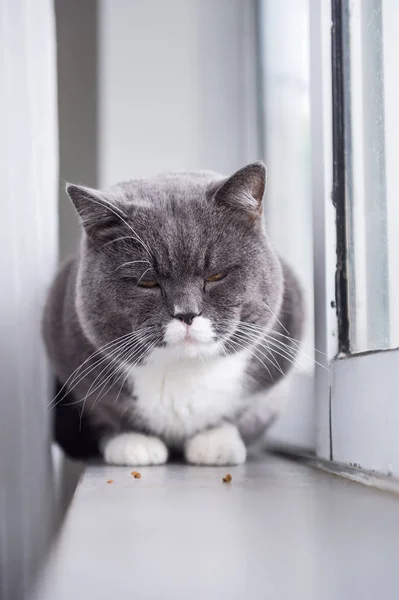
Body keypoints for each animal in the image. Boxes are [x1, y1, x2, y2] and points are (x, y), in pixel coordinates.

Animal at [43, 162, 304, 466]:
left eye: (215, 276)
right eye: (147, 282)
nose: (187, 313)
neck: (184, 369)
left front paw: (215, 442)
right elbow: (105, 410)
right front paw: (133, 442)